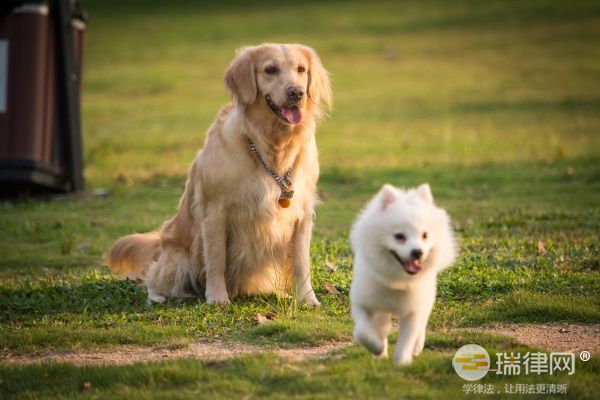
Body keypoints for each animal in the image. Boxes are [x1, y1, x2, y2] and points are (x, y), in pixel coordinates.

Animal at [350, 184, 458, 366]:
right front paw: (378, 348)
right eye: (399, 236)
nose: (418, 252)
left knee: (422, 325)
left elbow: (407, 338)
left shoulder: (413, 310)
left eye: (425, 235)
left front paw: (402, 363)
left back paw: (417, 346)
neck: (397, 281)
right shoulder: (363, 303)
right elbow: (363, 333)